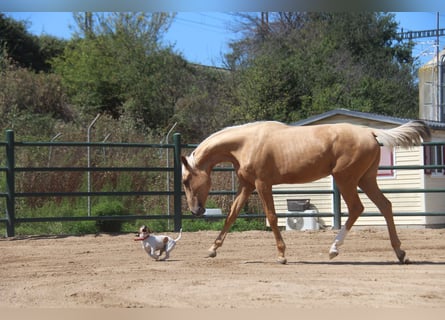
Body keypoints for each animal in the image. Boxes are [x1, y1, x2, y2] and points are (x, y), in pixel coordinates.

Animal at [181, 121, 430, 264]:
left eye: (185, 180)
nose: (195, 211)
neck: (246, 143)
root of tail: (369, 132)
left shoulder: (262, 185)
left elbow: (272, 217)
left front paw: (282, 255)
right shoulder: (247, 185)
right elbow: (232, 216)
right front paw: (212, 249)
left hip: (346, 179)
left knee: (357, 208)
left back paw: (333, 250)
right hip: (366, 180)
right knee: (385, 206)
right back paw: (400, 253)